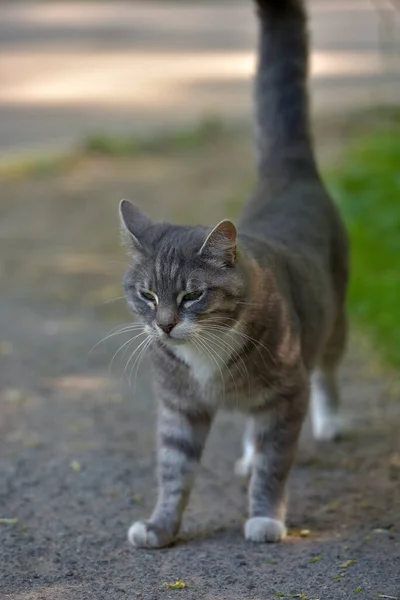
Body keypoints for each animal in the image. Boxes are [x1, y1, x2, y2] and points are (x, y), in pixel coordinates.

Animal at [118, 0, 346, 548]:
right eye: (147, 295)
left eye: (191, 295)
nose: (165, 325)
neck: (205, 351)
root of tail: (288, 174)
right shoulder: (179, 407)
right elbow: (173, 470)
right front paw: (160, 527)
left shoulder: (287, 392)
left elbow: (274, 464)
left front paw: (265, 518)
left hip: (334, 316)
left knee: (327, 367)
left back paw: (329, 420)